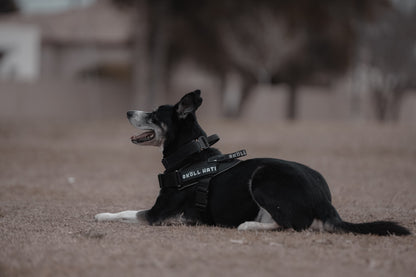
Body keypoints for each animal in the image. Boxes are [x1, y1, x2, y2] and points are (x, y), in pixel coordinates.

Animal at [96, 90, 412, 235]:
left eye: (153, 114)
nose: (128, 111)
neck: (190, 156)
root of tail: (325, 201)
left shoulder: (157, 215)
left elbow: (125, 211)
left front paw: (102, 214)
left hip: (262, 176)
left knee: (292, 224)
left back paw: (248, 225)